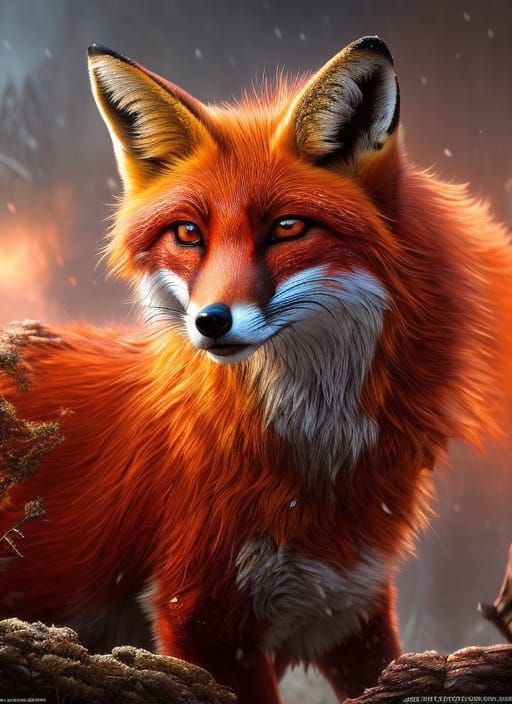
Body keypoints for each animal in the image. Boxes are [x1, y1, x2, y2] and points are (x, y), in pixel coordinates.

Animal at [1, 35, 512, 703]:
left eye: (287, 228)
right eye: (188, 234)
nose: (211, 322)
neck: (316, 468)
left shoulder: (351, 612)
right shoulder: (203, 619)